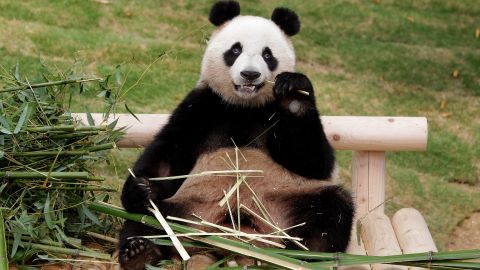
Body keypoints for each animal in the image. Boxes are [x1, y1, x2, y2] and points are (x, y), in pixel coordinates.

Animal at [118, 1, 354, 268]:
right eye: (235, 49)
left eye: (267, 55)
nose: (250, 75)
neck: (245, 106)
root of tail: (232, 243)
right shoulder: (203, 106)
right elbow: (168, 154)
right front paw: (140, 188)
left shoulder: (272, 115)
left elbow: (313, 162)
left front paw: (293, 92)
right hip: (189, 209)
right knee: (148, 219)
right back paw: (140, 251)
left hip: (286, 202)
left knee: (331, 209)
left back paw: (307, 256)